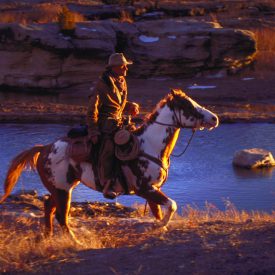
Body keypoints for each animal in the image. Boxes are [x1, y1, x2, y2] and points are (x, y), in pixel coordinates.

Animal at [0, 89, 220, 243]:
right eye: (188, 105)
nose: (215, 118)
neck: (149, 144)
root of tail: (45, 148)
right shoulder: (144, 189)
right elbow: (171, 205)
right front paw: (159, 227)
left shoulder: (153, 190)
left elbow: (159, 211)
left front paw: (160, 228)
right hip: (63, 191)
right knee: (62, 217)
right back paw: (77, 243)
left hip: (61, 188)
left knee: (48, 208)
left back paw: (47, 237)